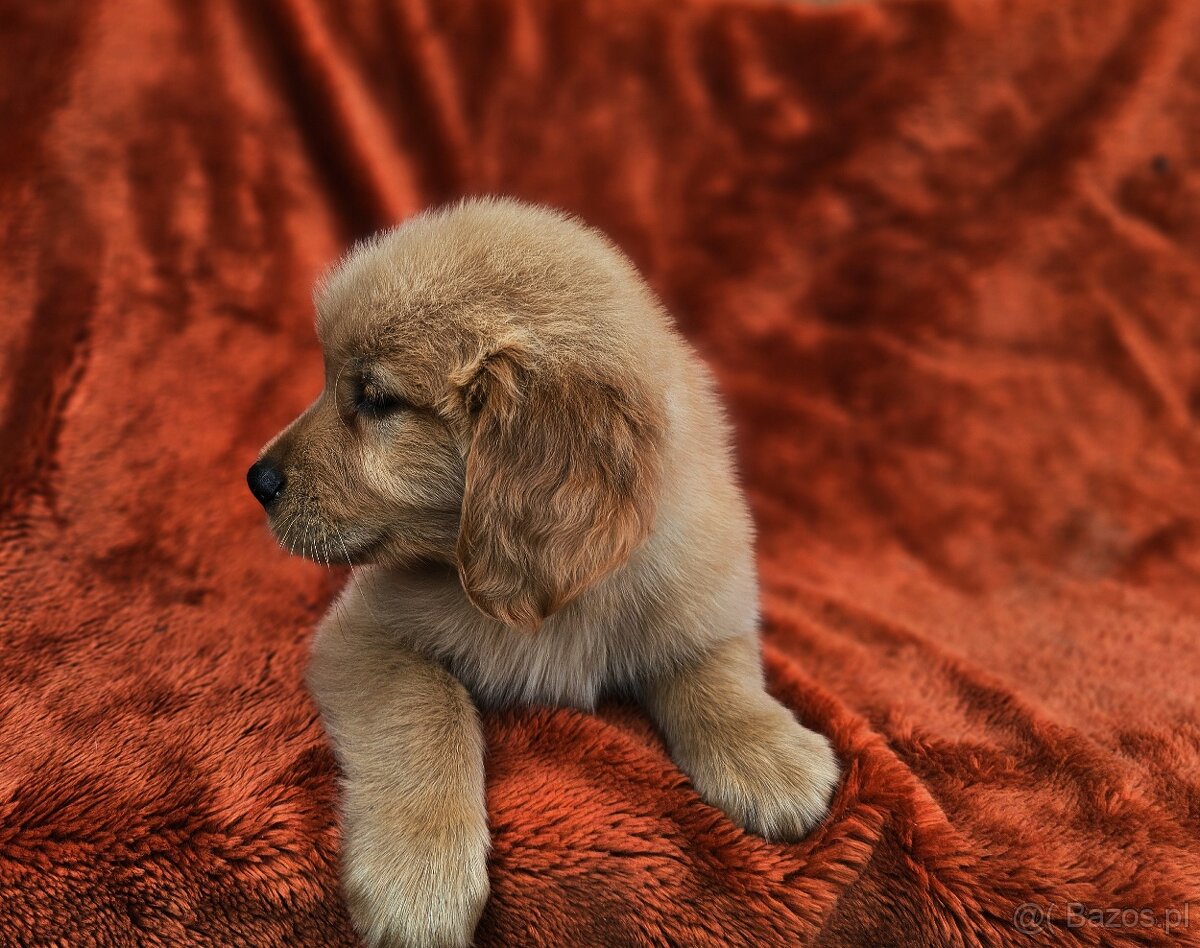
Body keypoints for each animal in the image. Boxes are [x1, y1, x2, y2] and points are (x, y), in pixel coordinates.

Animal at [248, 196, 840, 945]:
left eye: (377, 400)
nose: (257, 479)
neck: (555, 594)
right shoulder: (363, 637)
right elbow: (428, 710)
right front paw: (419, 876)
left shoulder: (707, 594)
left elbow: (713, 668)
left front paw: (768, 754)